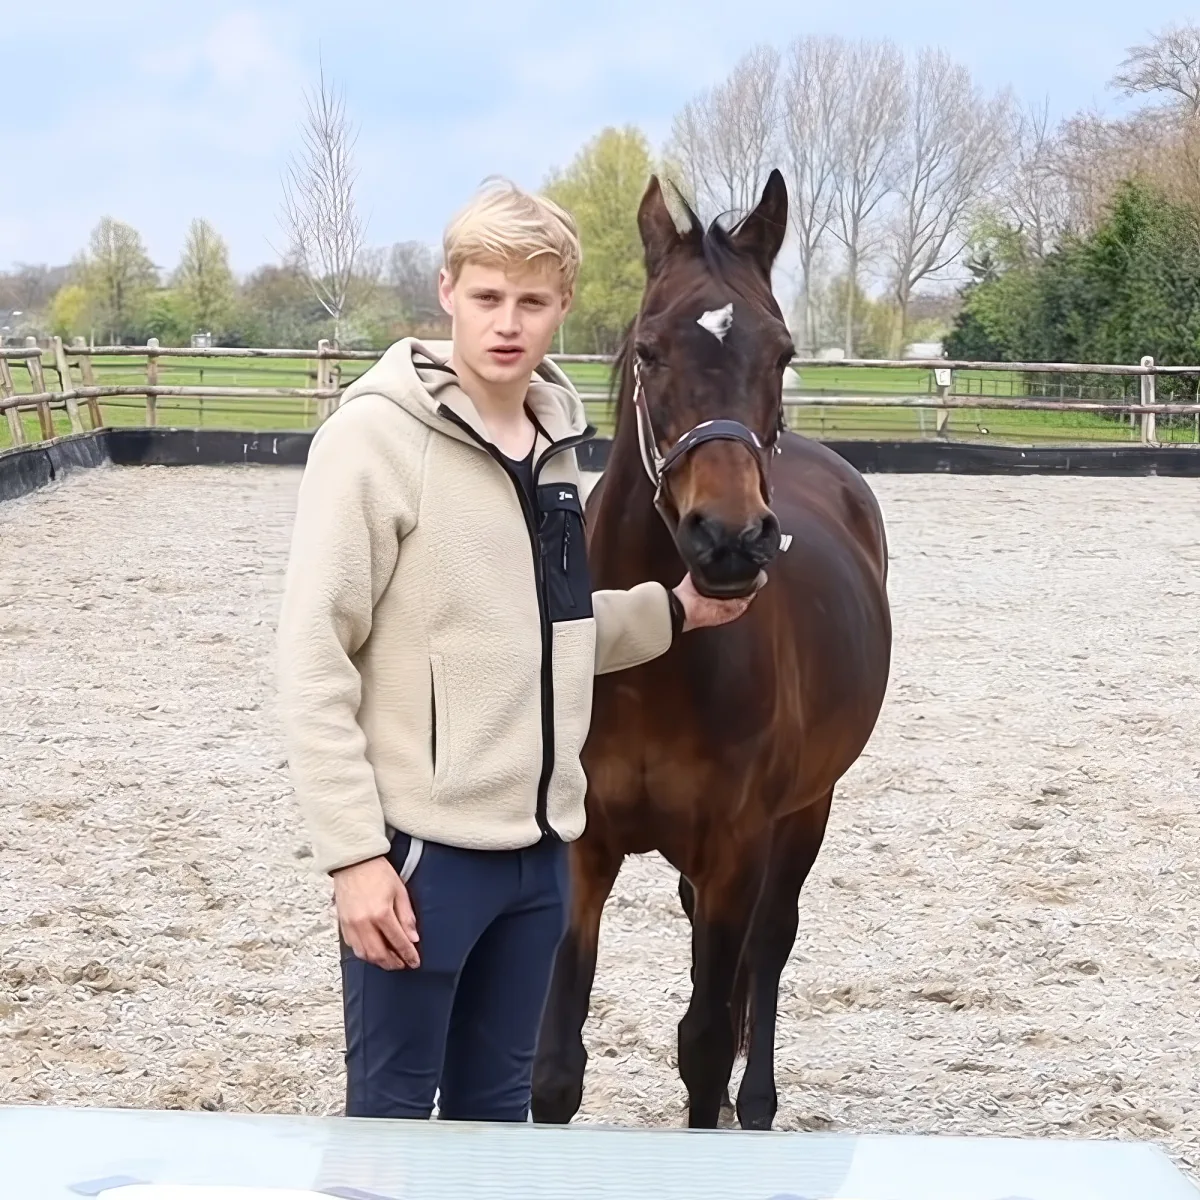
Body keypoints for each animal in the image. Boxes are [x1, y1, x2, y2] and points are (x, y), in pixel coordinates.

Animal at [531, 169, 893, 1131]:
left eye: (783, 352)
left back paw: (754, 1098)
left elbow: (700, 1041)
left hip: (806, 813)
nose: (728, 541)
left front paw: (722, 1089)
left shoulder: (739, 846)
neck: (654, 669)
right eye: (651, 350)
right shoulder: (583, 850)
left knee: (766, 951)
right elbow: (557, 1063)